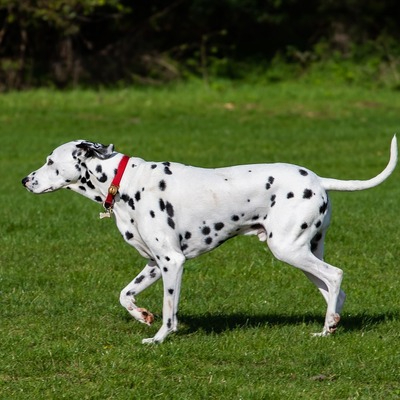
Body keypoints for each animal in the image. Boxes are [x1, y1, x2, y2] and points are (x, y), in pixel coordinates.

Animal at [21, 138, 396, 344]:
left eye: (50, 161)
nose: (25, 180)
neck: (125, 180)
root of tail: (319, 179)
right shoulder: (154, 265)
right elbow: (125, 295)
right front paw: (142, 315)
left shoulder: (172, 263)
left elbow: (169, 312)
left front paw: (158, 339)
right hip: (303, 255)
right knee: (334, 291)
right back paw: (328, 328)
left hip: (289, 250)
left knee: (336, 276)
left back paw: (328, 326)